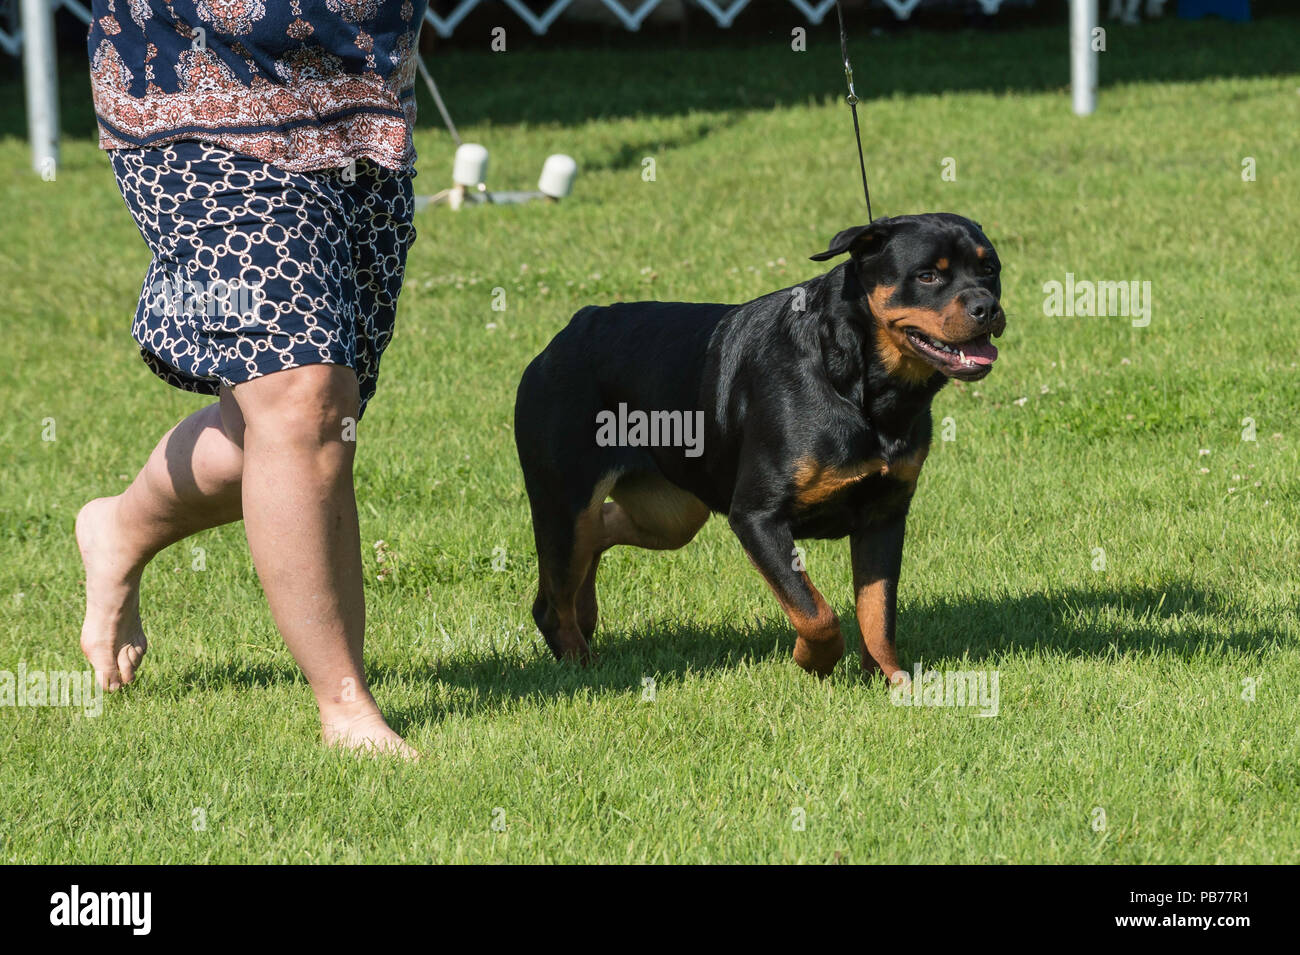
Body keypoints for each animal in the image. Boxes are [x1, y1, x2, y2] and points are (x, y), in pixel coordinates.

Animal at [517, 214, 1003, 686]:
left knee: (601, 533)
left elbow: (877, 615)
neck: (860, 384)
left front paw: (893, 682)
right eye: (927, 276)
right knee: (553, 599)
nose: (988, 307)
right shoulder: (757, 517)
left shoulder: (884, 516)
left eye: (990, 270)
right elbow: (815, 612)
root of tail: (568, 332)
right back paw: (583, 666)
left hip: (670, 515)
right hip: (566, 504)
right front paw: (814, 661)